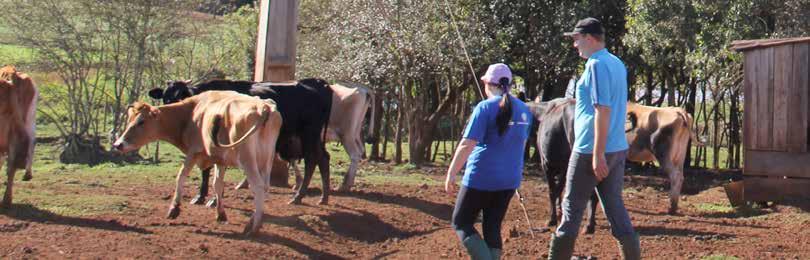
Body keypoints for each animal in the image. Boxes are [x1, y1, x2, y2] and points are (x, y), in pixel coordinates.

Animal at [110, 91, 280, 236]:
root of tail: (264, 108)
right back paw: (253, 221)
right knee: (265, 187)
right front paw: (220, 214)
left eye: (141, 122)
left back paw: (254, 227)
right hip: (266, 161)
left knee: (257, 187)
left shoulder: (193, 152)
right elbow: (217, 184)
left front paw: (174, 208)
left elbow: (181, 175)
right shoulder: (220, 159)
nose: (118, 144)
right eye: (130, 120)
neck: (192, 113)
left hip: (247, 161)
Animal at [148, 78, 332, 205]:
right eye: (165, 97)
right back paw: (323, 197)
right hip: (312, 138)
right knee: (323, 158)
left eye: (181, 95)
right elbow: (206, 170)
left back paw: (298, 196)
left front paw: (214, 199)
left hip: (308, 134)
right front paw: (200, 197)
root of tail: (317, 83)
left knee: (311, 160)